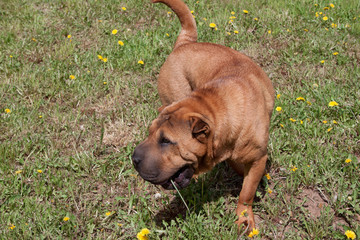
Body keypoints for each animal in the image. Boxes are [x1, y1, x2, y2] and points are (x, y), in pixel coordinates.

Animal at [131, 0, 272, 231]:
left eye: (166, 141)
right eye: (149, 133)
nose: (134, 158)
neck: (213, 107)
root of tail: (184, 44)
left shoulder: (258, 157)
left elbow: (246, 192)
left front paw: (244, 216)